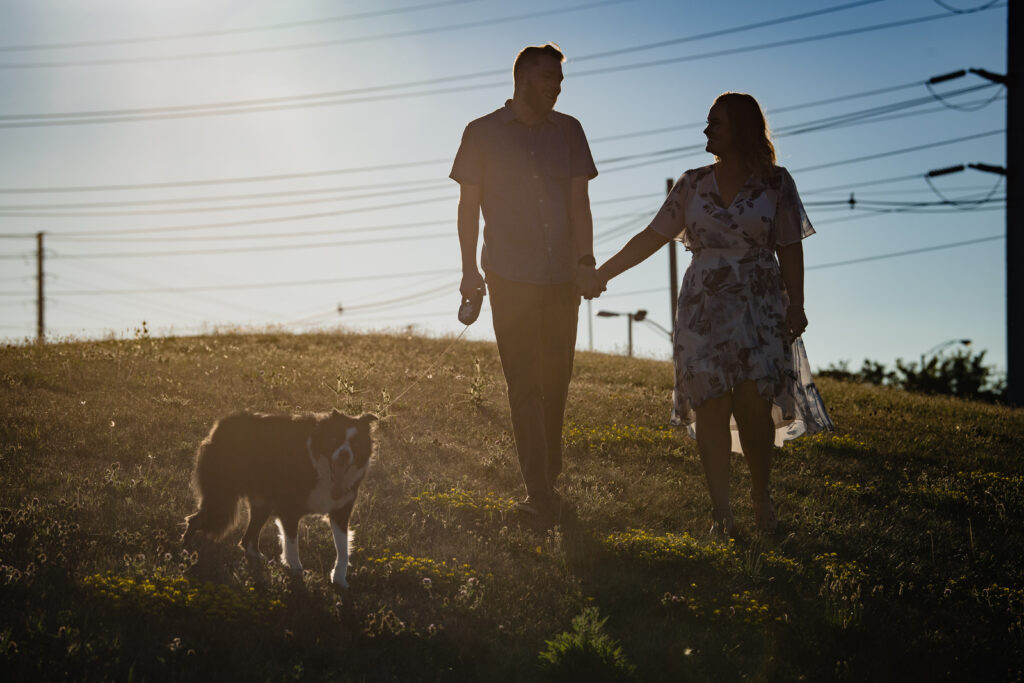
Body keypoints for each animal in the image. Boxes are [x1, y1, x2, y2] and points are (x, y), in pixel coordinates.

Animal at [183, 409, 376, 589]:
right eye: (334, 438)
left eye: (356, 443)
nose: (344, 454)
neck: (322, 470)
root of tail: (221, 423)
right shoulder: (289, 510)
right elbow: (291, 544)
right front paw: (297, 573)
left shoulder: (340, 512)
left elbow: (343, 549)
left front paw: (339, 579)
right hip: (222, 498)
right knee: (194, 520)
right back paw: (186, 553)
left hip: (261, 502)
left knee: (246, 539)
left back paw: (259, 559)